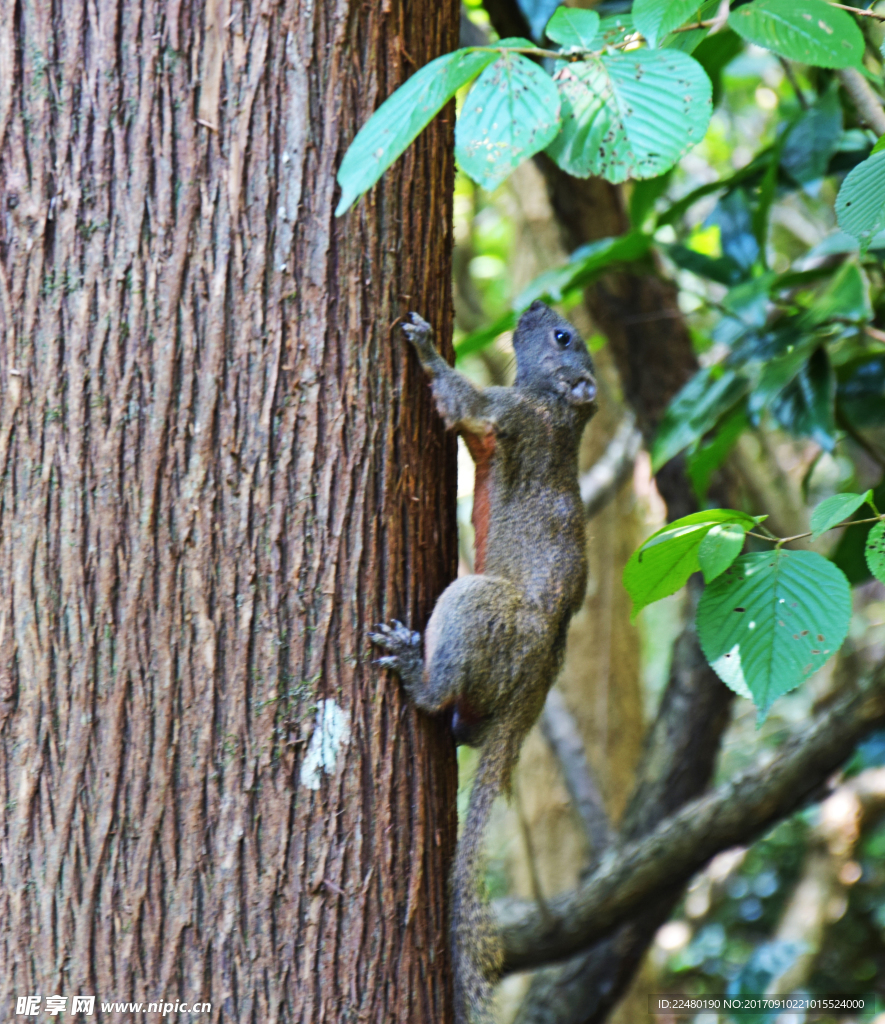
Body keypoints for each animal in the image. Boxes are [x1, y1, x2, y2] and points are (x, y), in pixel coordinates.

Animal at [366, 299, 594, 1024]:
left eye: (562, 337)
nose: (536, 304)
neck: (560, 413)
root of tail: (532, 687)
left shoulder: (507, 415)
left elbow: (459, 400)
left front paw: (425, 346)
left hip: (478, 606)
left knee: (442, 695)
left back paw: (416, 670)